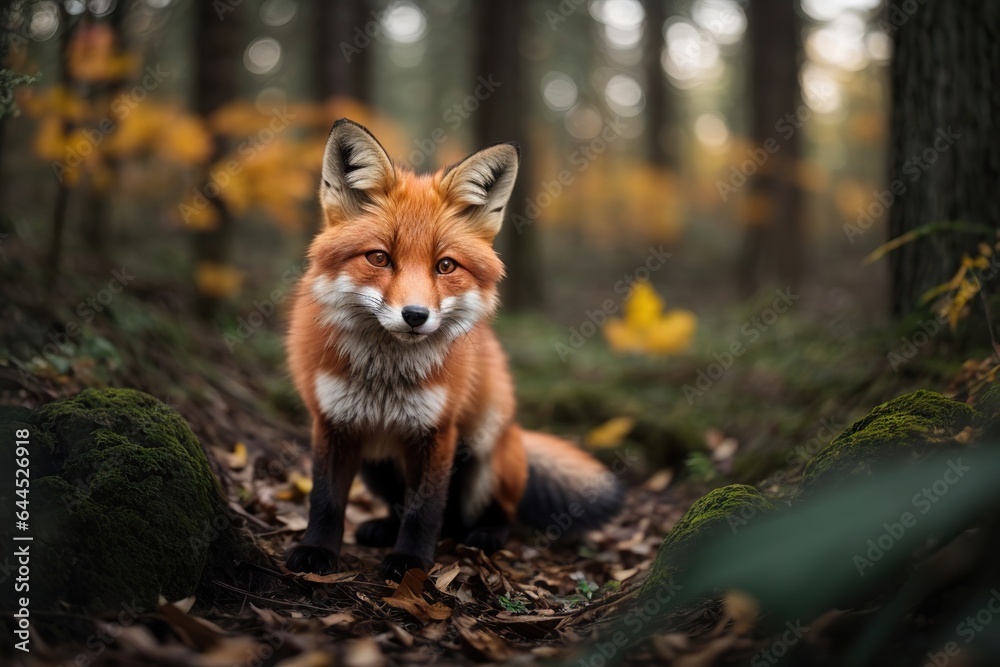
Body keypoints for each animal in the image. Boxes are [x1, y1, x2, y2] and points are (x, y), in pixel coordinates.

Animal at [284, 119, 624, 582]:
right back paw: (382, 528)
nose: (415, 315)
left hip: (485, 450)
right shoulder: (332, 422)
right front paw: (317, 550)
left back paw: (485, 535)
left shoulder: (437, 430)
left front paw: (410, 563)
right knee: (412, 509)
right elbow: (326, 498)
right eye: (379, 258)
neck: (385, 379)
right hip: (376, 464)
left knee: (490, 514)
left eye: (445, 266)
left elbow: (425, 509)